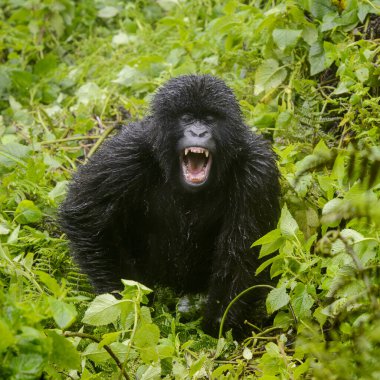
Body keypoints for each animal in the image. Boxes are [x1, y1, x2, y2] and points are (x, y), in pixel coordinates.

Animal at [58, 74, 280, 336]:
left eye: (210, 119)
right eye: (186, 118)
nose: (198, 132)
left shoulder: (257, 171)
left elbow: (246, 250)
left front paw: (219, 325)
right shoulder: (126, 152)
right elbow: (85, 215)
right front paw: (128, 302)